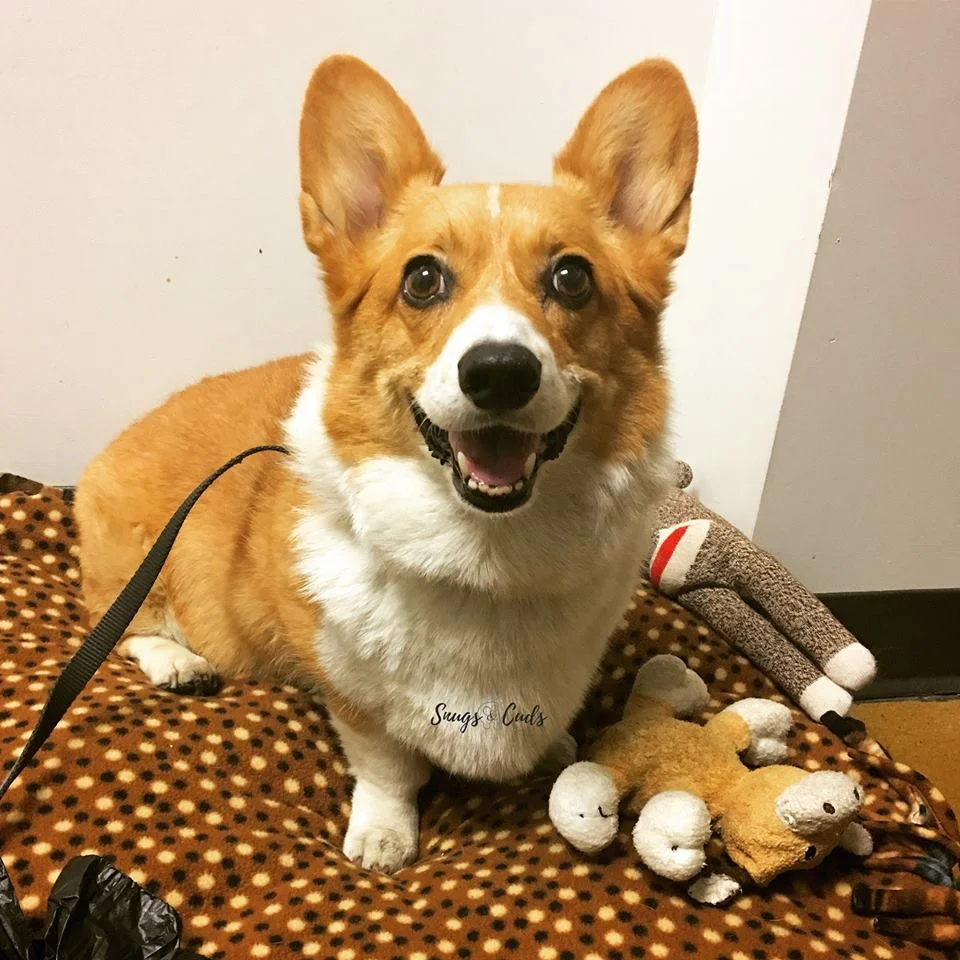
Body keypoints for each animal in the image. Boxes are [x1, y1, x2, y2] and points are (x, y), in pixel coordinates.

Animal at [75, 55, 698, 872]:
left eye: (572, 278)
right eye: (423, 279)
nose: (499, 372)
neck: (486, 554)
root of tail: (128, 431)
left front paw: (555, 745)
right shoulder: (349, 687)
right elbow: (386, 766)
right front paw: (383, 835)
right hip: (134, 561)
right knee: (120, 623)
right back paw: (176, 662)